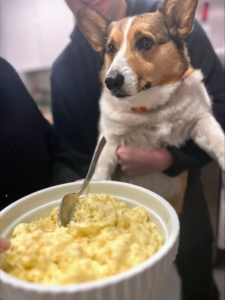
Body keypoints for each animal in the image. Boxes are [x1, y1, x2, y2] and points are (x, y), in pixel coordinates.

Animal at [76, 0, 224, 213]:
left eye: (144, 42)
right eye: (111, 48)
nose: (110, 81)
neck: (149, 108)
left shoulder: (200, 120)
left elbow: (219, 141)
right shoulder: (110, 141)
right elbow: (99, 171)